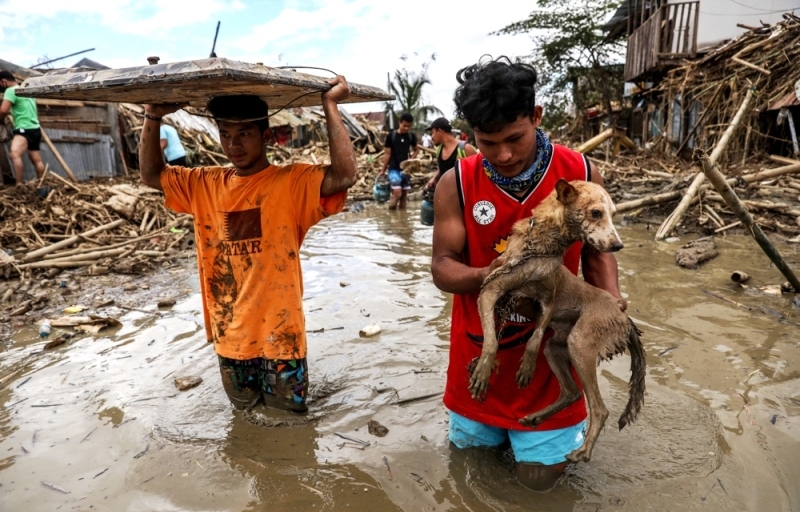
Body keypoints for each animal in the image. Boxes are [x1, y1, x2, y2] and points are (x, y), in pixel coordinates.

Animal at [468, 180, 644, 464]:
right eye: (596, 213)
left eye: (614, 214)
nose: (618, 246)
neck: (543, 245)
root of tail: (624, 317)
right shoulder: (490, 291)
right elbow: (492, 341)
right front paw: (484, 371)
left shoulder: (547, 302)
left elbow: (534, 338)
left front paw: (527, 368)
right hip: (557, 348)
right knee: (573, 392)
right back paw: (536, 417)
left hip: (579, 344)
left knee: (599, 409)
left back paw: (582, 451)